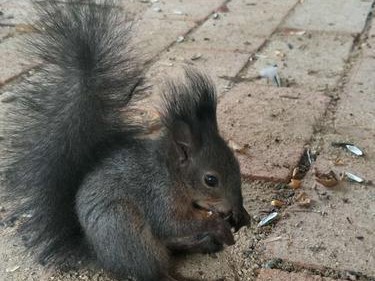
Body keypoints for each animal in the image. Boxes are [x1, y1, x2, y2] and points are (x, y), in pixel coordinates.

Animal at [2, 1, 251, 278]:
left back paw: (205, 244)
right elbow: (173, 222)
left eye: (237, 165)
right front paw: (218, 224)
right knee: (152, 270)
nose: (234, 205)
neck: (171, 174)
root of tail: (97, 252)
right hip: (124, 228)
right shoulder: (158, 196)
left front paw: (242, 215)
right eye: (211, 180)